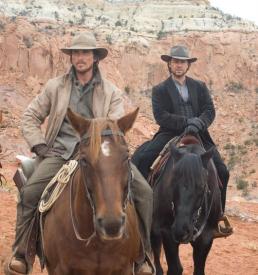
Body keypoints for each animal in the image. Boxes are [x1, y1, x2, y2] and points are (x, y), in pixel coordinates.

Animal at [43, 109, 142, 274]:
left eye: (126, 157)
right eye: (84, 160)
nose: (111, 224)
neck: (97, 244)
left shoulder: (125, 269)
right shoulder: (58, 269)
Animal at [151, 136, 222, 275]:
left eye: (202, 186)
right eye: (172, 182)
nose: (181, 230)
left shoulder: (206, 238)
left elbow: (199, 270)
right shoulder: (167, 232)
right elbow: (175, 268)